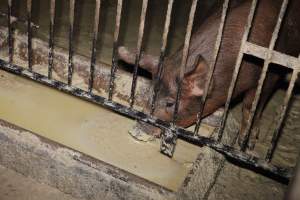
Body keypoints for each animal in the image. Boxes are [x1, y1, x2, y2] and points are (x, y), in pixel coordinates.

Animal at [117, 0, 300, 148]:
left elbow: (251, 105)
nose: (137, 129)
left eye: (170, 103)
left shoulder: (272, 73)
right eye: (149, 93)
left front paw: (246, 143)